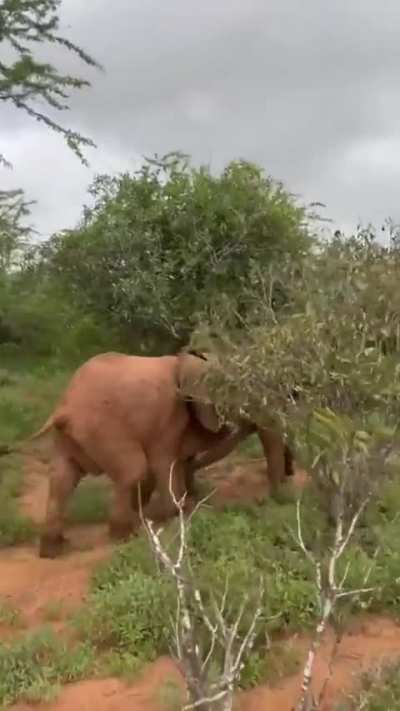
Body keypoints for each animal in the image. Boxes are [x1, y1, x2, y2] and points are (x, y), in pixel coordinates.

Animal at [19, 350, 293, 558]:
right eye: (238, 393)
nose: (274, 499)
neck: (191, 361)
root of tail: (64, 410)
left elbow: (177, 461)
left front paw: (180, 505)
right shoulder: (167, 417)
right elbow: (165, 462)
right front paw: (179, 512)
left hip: (69, 438)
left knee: (61, 480)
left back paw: (53, 550)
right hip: (104, 429)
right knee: (132, 471)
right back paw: (124, 536)